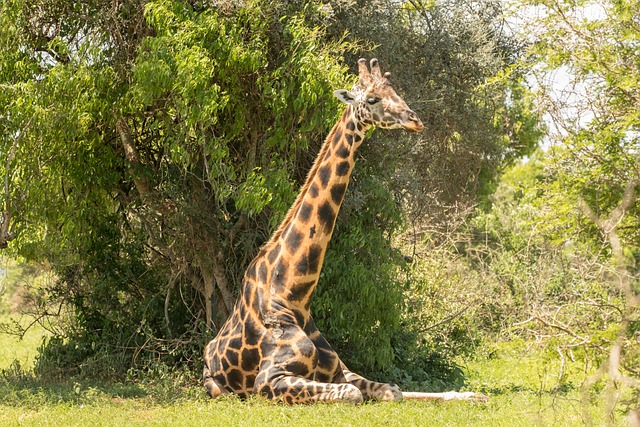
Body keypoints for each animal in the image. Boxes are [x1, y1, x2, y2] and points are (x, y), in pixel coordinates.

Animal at [203, 58, 485, 404]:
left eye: (396, 91)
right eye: (373, 99)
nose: (415, 120)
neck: (294, 294)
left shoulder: (338, 369)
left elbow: (393, 390)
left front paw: (471, 394)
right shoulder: (268, 380)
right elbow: (353, 394)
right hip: (220, 389)